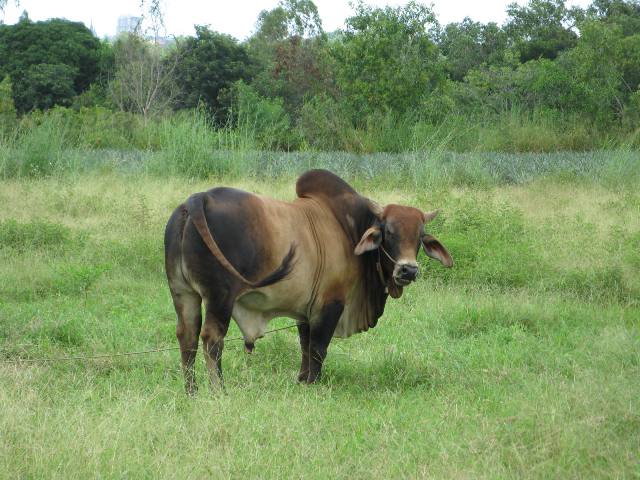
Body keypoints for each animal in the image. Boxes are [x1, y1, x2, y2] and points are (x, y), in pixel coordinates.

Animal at [168, 170, 452, 394]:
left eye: (420, 236)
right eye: (389, 233)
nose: (408, 270)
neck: (348, 229)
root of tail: (199, 198)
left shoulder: (305, 309)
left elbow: (304, 345)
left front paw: (302, 379)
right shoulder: (330, 304)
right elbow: (318, 347)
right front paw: (313, 383)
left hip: (183, 293)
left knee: (187, 336)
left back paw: (191, 392)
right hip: (220, 297)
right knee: (211, 338)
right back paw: (219, 391)